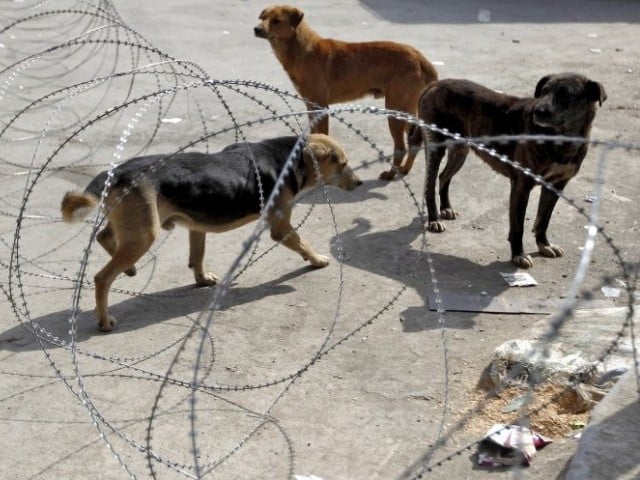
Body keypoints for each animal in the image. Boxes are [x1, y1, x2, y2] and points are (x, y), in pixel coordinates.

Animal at [62, 133, 362, 332]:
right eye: (343, 163)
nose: (359, 183)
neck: (289, 157)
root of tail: (115, 173)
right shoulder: (280, 227)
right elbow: (303, 243)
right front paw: (317, 259)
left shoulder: (196, 226)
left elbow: (198, 255)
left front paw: (202, 278)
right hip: (145, 233)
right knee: (102, 277)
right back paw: (104, 319)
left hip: (133, 226)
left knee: (104, 236)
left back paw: (129, 269)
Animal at [252, 4, 438, 181]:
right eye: (262, 17)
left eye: (276, 21)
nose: (256, 29)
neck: (300, 49)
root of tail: (421, 58)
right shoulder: (311, 106)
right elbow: (314, 135)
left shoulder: (321, 106)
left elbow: (323, 135)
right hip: (406, 111)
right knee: (416, 142)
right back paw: (405, 169)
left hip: (396, 111)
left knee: (401, 147)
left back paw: (391, 174)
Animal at [408, 73, 608, 268]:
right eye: (544, 91)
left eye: (566, 94)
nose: (538, 111)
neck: (560, 140)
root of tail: (436, 84)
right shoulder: (521, 185)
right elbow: (518, 226)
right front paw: (518, 255)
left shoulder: (555, 185)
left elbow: (544, 219)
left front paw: (544, 244)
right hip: (436, 147)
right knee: (429, 184)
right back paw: (434, 219)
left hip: (460, 151)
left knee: (443, 177)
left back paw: (446, 208)